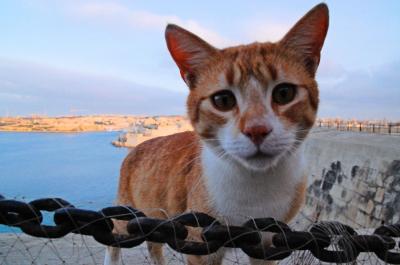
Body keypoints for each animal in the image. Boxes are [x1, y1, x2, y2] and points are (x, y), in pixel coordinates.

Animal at [105, 2, 328, 264]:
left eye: (284, 93)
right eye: (223, 100)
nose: (257, 129)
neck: (255, 190)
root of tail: (136, 147)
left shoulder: (269, 243)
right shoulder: (200, 242)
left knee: (154, 243)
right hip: (128, 213)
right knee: (115, 239)